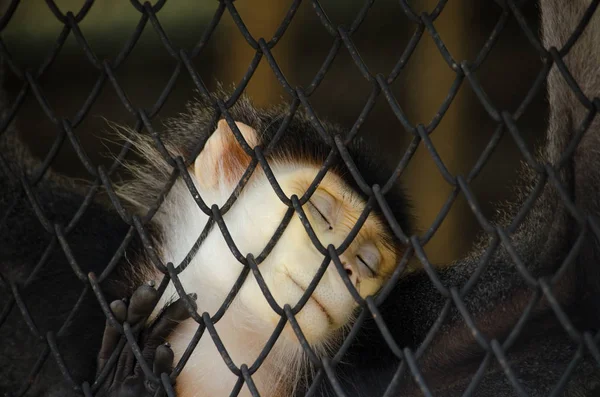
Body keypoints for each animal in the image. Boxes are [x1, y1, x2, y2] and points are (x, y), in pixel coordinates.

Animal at [3, 0, 600, 396]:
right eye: (318, 212)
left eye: (372, 259)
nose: (353, 265)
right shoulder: (65, 252)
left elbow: (567, 264)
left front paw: (131, 378)